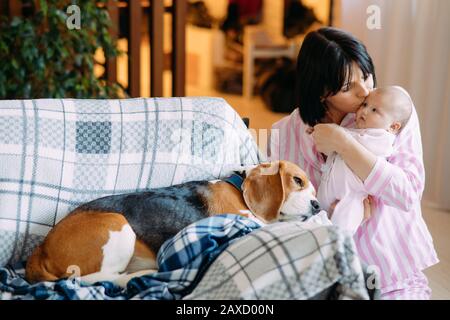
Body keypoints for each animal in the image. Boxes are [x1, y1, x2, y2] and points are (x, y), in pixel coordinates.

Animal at [25, 160, 320, 288]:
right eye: (297, 180)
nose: (318, 205)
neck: (240, 189)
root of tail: (41, 249)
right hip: (116, 223)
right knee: (98, 277)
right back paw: (138, 275)